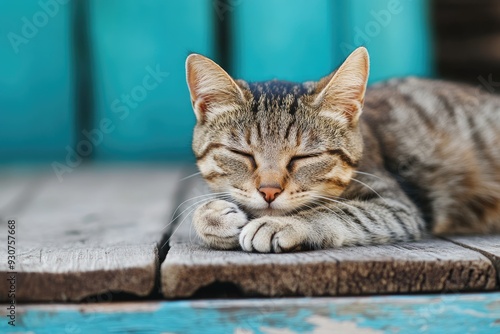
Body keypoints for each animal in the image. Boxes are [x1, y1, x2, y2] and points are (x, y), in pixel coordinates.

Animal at [185, 47, 500, 253]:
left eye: (305, 157)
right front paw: (211, 215)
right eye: (242, 154)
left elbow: (338, 211)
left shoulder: (397, 205)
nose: (269, 191)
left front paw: (284, 223)